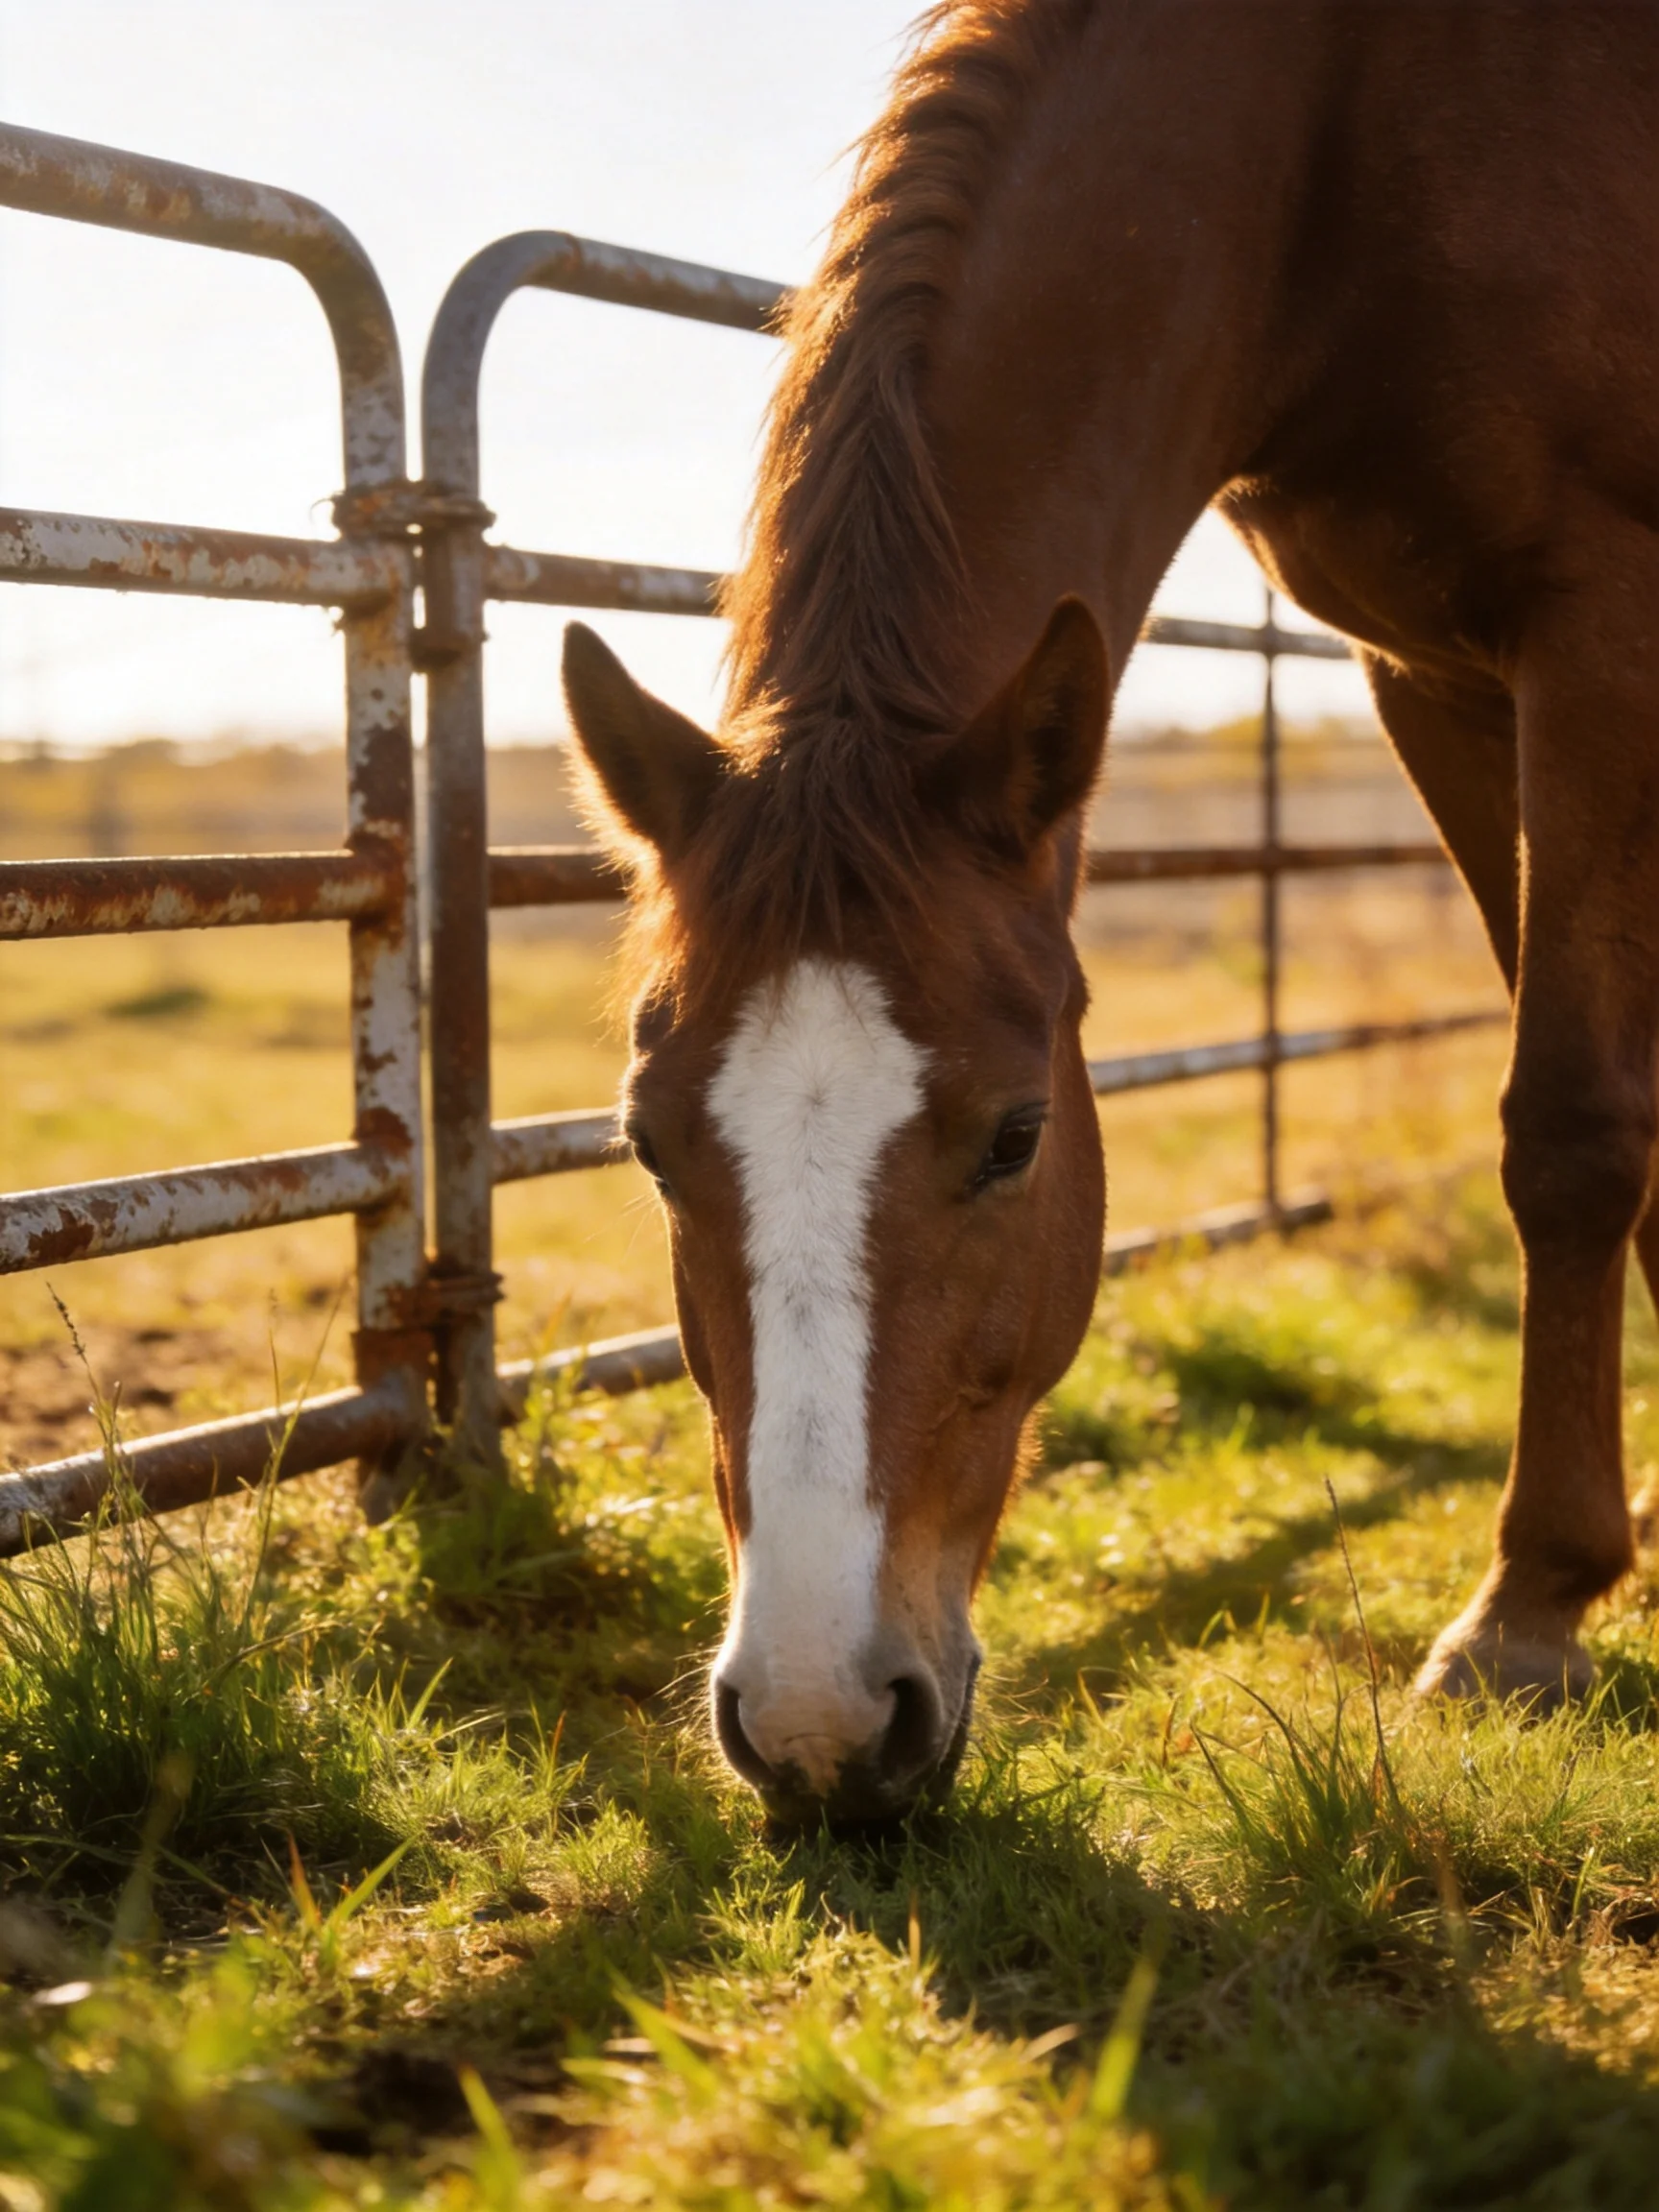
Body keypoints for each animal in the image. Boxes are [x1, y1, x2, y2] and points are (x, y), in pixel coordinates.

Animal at [561, 0, 1659, 1825]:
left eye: (1017, 1137)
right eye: (646, 1147)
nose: (816, 1723)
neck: (1340, 135)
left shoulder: (1596, 620)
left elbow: (1571, 1126)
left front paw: (1527, 1611)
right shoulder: (1434, 671)